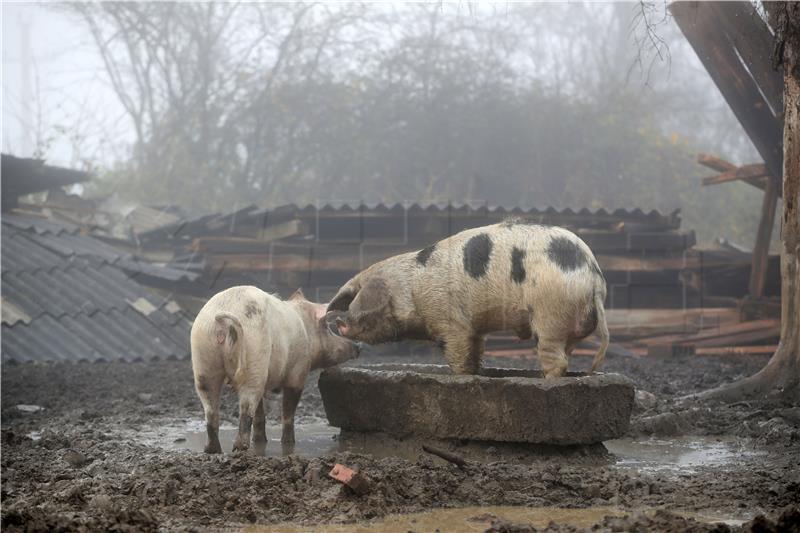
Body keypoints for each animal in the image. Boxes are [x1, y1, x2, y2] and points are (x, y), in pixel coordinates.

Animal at [191, 286, 360, 454]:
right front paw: (289, 443)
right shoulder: (298, 371)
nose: (357, 346)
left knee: (211, 407)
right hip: (254, 353)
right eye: (327, 327)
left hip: (203, 358)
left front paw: (260, 441)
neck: (305, 329)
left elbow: (260, 413)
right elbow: (288, 411)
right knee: (246, 406)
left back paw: (212, 450)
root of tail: (223, 320)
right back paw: (240, 448)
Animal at [328, 220, 608, 378]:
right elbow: (475, 351)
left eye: (358, 302)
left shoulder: (450, 322)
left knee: (556, 359)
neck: (411, 289)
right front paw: (476, 373)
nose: (339, 323)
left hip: (549, 311)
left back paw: (546, 381)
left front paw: (461, 377)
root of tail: (593, 278)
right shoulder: (474, 328)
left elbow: (457, 353)